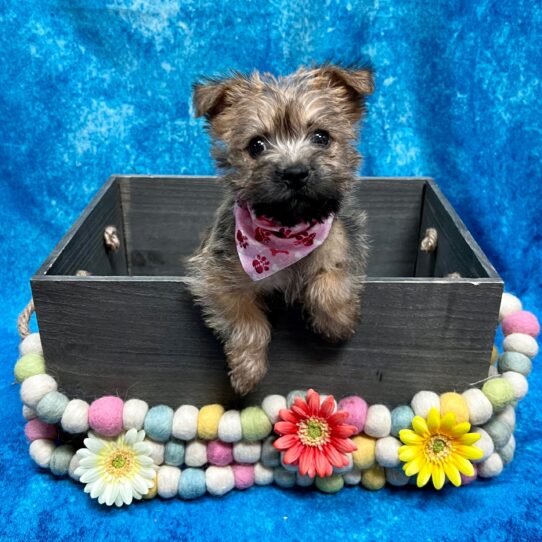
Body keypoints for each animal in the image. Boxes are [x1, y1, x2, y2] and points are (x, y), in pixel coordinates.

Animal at [187, 63, 374, 398]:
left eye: (321, 137)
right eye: (256, 145)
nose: (295, 172)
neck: (287, 231)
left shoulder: (346, 246)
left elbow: (329, 285)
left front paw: (338, 324)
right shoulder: (214, 279)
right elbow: (247, 321)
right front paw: (247, 371)